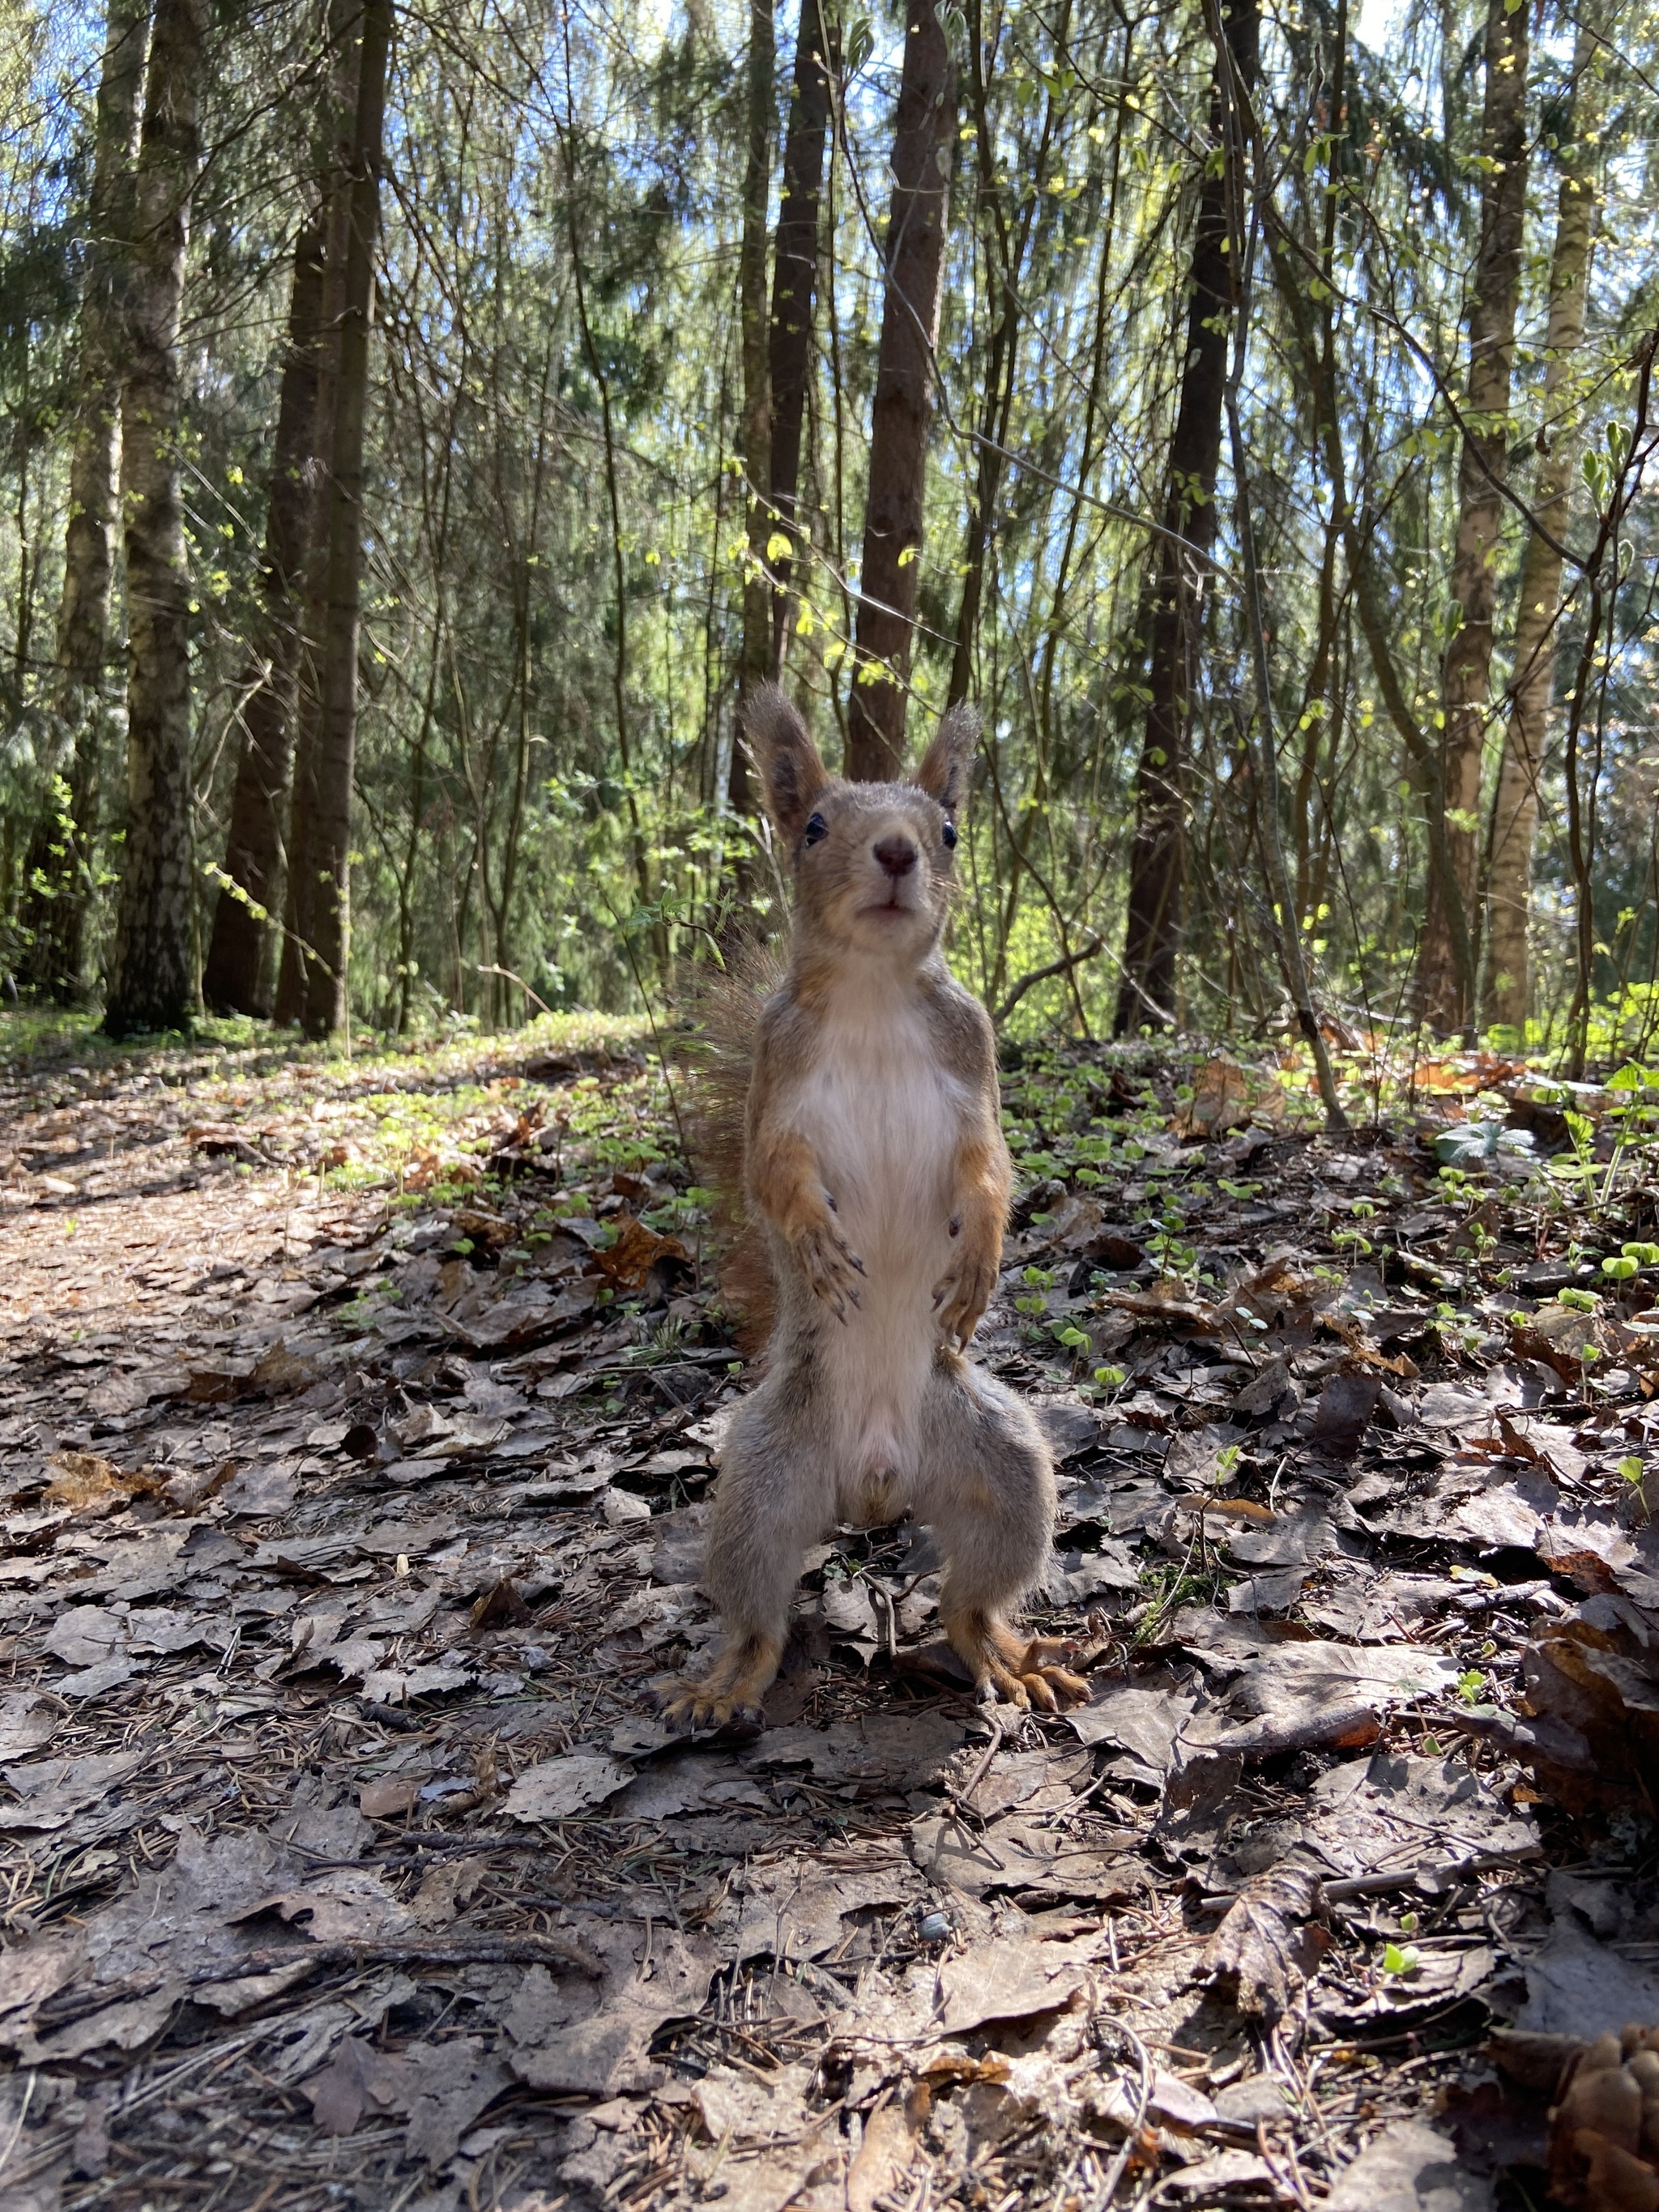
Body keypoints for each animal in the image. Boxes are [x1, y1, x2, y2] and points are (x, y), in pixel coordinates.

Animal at [663, 685, 1092, 1725]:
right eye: (814, 824)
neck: (870, 992)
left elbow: (991, 1167)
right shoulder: (775, 1082)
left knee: (973, 1593)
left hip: (1002, 1470)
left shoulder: (973, 1061)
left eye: (947, 830)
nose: (896, 851)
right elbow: (770, 1173)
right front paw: (814, 1239)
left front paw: (979, 1256)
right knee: (756, 1610)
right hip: (759, 1486)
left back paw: (1003, 1656)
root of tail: (875, 1488)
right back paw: (728, 1682)